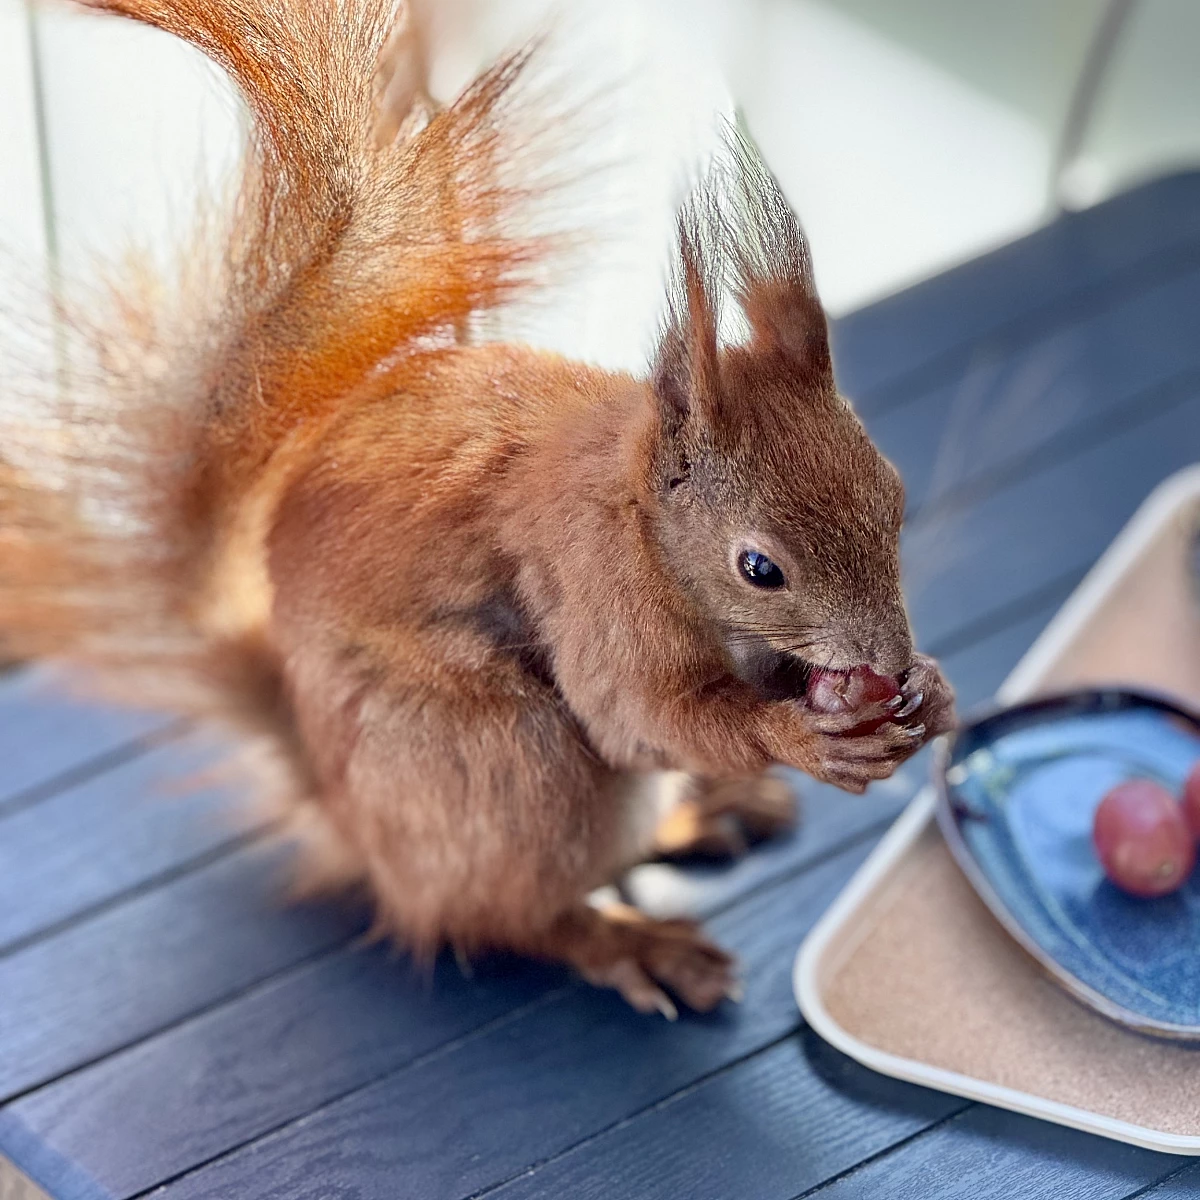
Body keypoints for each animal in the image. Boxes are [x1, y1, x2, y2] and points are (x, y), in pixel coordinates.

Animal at [0, 0, 955, 1012]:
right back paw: (634, 940)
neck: (640, 519)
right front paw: (802, 737)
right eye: (759, 568)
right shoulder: (597, 595)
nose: (888, 659)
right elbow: (639, 715)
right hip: (506, 767)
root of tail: (351, 818)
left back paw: (708, 813)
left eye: (893, 494)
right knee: (506, 912)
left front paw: (930, 691)